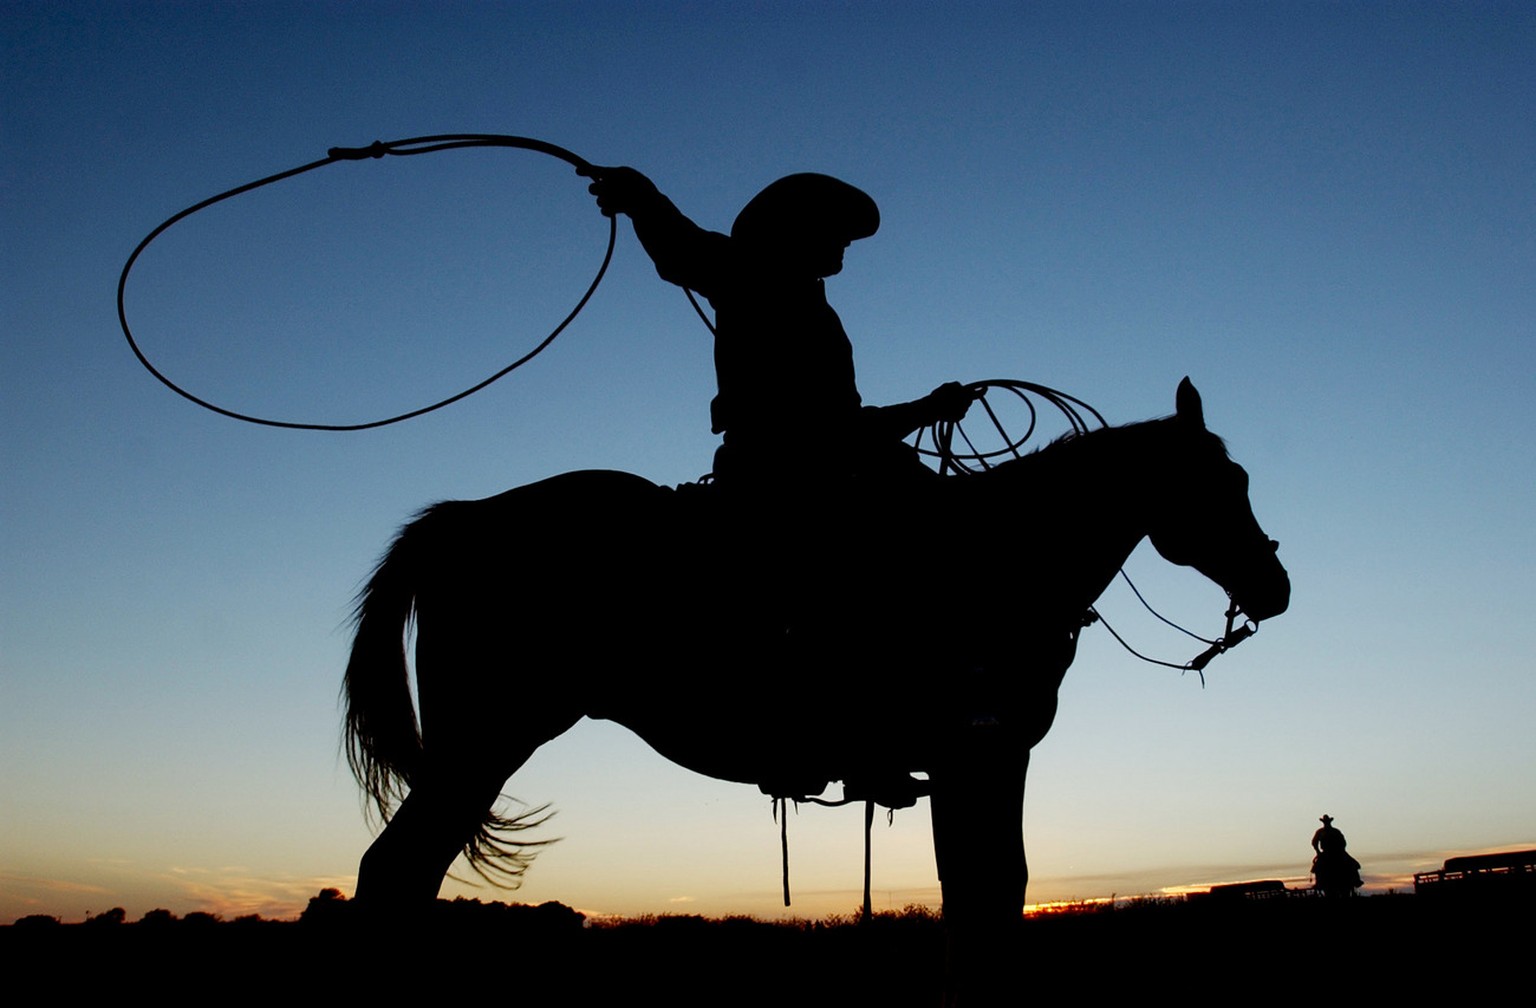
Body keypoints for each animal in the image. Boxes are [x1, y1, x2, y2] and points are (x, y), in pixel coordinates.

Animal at [345, 379, 1284, 1001]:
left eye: (1241, 480)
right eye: (1216, 485)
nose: (1274, 589)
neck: (996, 557)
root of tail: (460, 521)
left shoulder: (972, 761)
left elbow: (980, 887)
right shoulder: (981, 752)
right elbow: (988, 886)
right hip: (486, 742)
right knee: (391, 873)